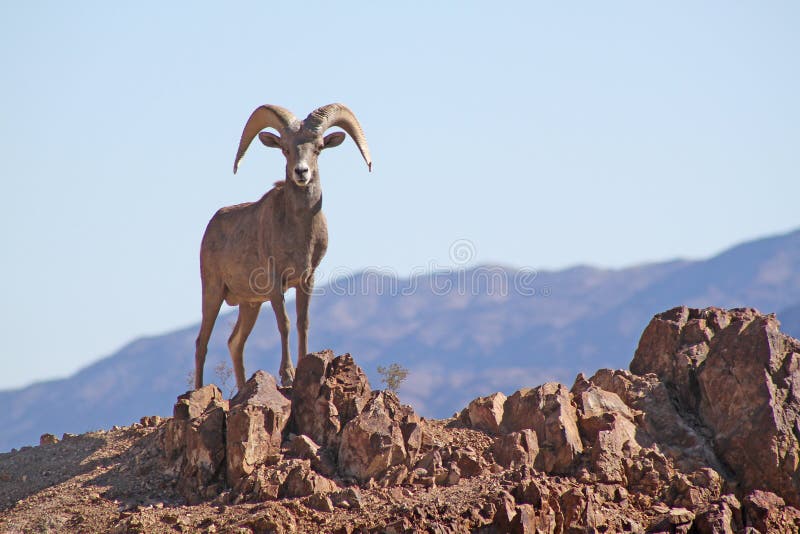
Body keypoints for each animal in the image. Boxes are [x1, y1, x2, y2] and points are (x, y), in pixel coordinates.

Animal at [194, 103, 372, 390]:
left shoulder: (306, 280)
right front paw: (287, 375)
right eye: (285, 148)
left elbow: (302, 323)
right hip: (212, 292)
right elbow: (285, 324)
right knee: (202, 343)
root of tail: (212, 225)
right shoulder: (276, 283)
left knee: (235, 343)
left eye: (318, 148)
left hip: (250, 305)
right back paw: (198, 389)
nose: (301, 172)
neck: (299, 233)